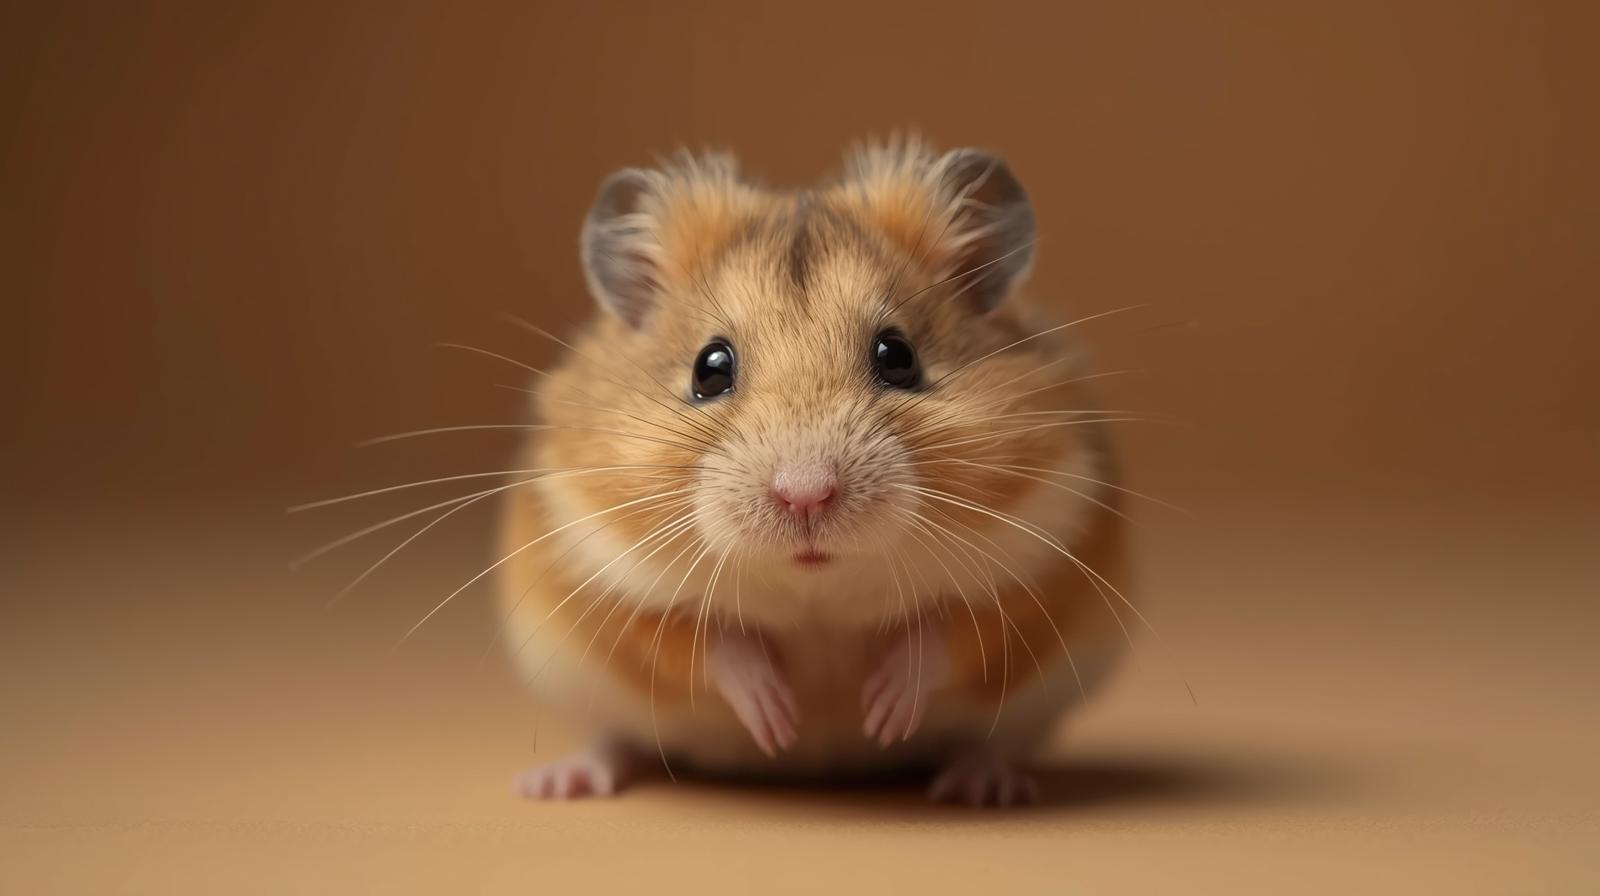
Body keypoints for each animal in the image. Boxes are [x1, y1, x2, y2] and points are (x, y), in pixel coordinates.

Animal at [496, 138, 1129, 806]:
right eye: (709, 368)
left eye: (898, 357)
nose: (806, 497)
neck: (816, 592)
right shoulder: (591, 575)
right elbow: (697, 643)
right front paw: (780, 720)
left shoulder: (1053, 560)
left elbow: (955, 633)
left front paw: (879, 714)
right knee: (616, 738)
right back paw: (557, 783)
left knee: (994, 738)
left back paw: (984, 786)